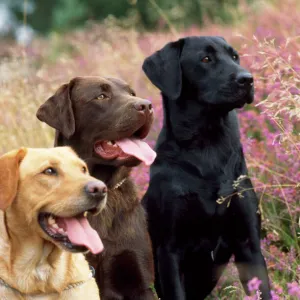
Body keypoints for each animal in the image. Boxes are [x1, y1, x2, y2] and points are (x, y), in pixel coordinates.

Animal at [142, 37, 270, 300]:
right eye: (206, 59)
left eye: (235, 57)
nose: (247, 79)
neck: (208, 144)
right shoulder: (169, 250)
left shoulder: (249, 243)